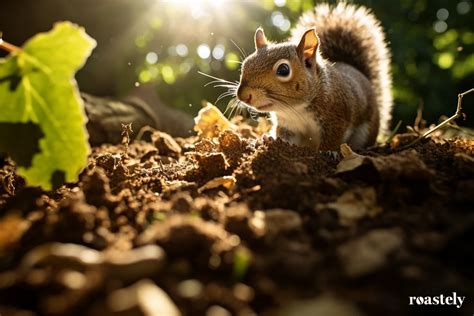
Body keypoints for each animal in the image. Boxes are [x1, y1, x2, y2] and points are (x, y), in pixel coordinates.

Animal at [236, 2, 392, 151]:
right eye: (245, 64)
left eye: (283, 70)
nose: (243, 96)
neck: (296, 109)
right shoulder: (288, 126)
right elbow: (285, 138)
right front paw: (271, 140)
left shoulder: (336, 119)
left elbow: (332, 139)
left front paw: (327, 152)